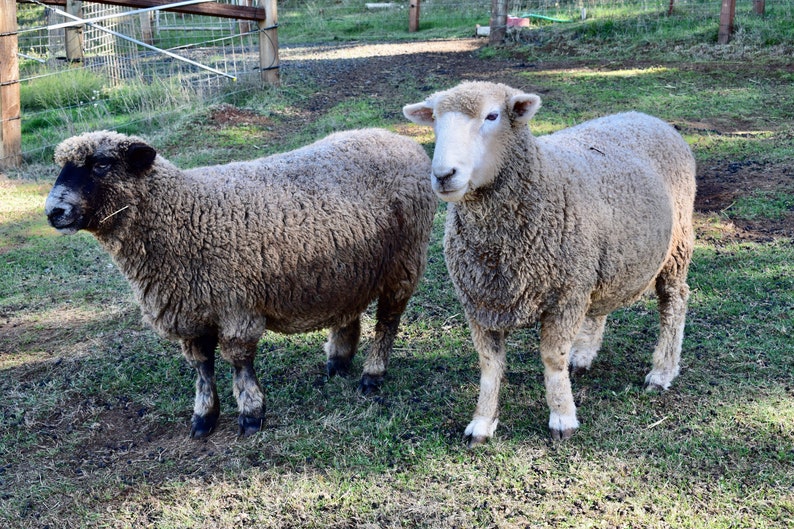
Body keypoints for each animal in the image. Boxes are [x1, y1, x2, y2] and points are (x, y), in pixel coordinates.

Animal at [43, 127, 434, 438]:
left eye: (101, 164)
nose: (53, 212)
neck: (183, 213)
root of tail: (402, 140)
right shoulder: (190, 312)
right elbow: (202, 367)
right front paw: (203, 418)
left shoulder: (235, 305)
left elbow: (238, 361)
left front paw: (250, 413)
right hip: (347, 269)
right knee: (349, 311)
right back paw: (338, 361)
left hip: (404, 261)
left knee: (388, 320)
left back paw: (372, 374)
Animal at [402, 80, 692, 444]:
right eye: (435, 120)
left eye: (492, 116)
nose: (443, 175)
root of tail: (646, 116)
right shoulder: (480, 302)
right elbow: (489, 366)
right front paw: (482, 422)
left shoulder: (565, 296)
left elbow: (552, 359)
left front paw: (562, 417)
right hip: (601, 258)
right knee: (600, 305)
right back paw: (583, 356)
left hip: (675, 245)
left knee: (674, 302)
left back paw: (662, 370)